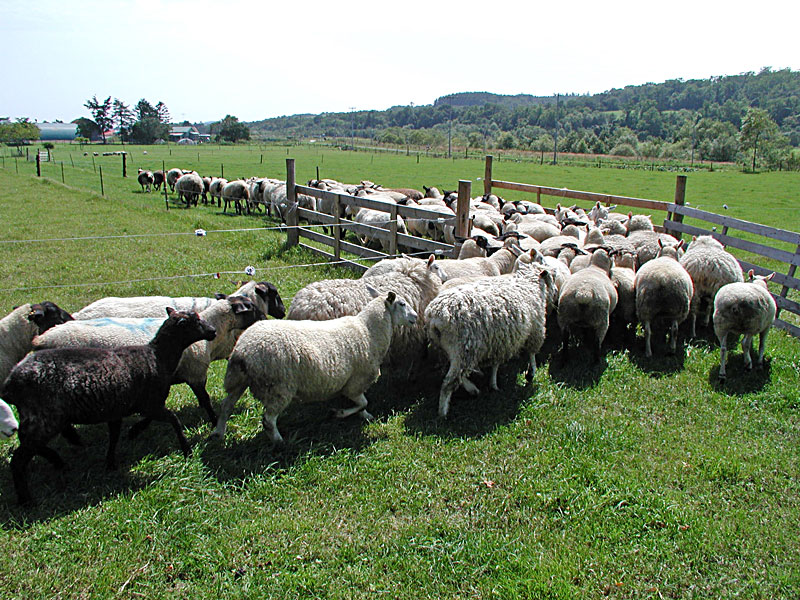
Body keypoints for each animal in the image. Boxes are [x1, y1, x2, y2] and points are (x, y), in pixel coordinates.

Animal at [32, 296, 266, 426]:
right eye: (252, 308)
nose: (266, 318)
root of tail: (42, 339)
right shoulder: (195, 374)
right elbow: (205, 401)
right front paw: (214, 422)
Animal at [424, 258, 556, 418]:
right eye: (552, 277)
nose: (556, 292)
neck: (527, 284)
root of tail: (436, 316)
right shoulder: (535, 329)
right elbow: (532, 353)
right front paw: (531, 373)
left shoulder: (500, 339)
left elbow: (495, 364)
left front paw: (493, 384)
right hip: (464, 348)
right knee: (449, 382)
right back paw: (443, 412)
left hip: (445, 348)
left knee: (453, 372)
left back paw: (472, 388)